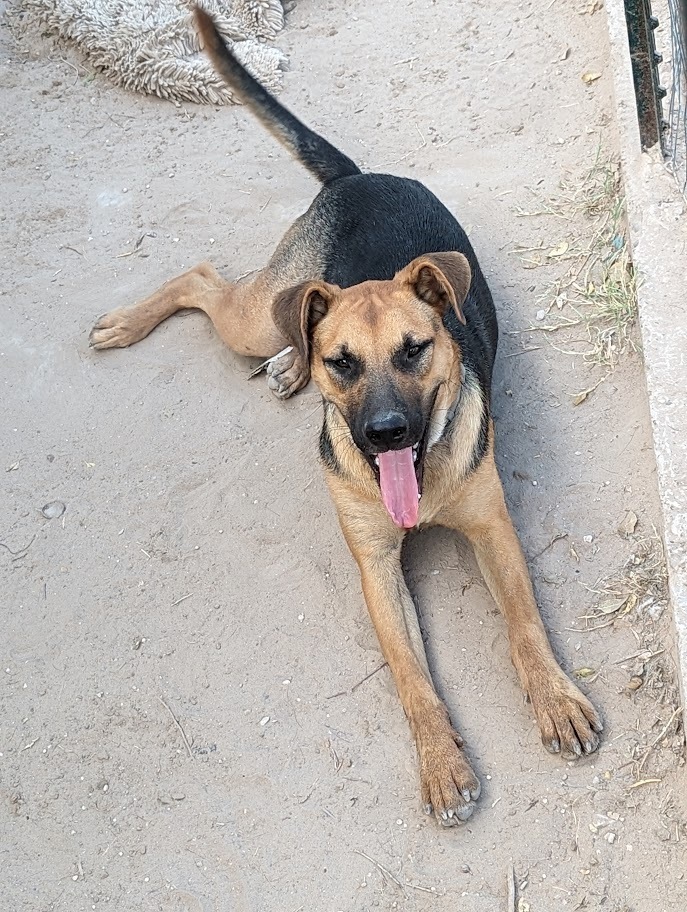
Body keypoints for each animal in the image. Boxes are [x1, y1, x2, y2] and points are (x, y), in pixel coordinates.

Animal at [91, 7, 600, 832]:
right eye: (344, 363)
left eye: (414, 349)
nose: (383, 434)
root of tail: (359, 175)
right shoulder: (374, 566)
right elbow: (410, 678)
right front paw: (440, 766)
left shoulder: (492, 528)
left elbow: (524, 625)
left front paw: (554, 701)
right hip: (259, 312)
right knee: (206, 280)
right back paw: (140, 327)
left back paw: (275, 363)